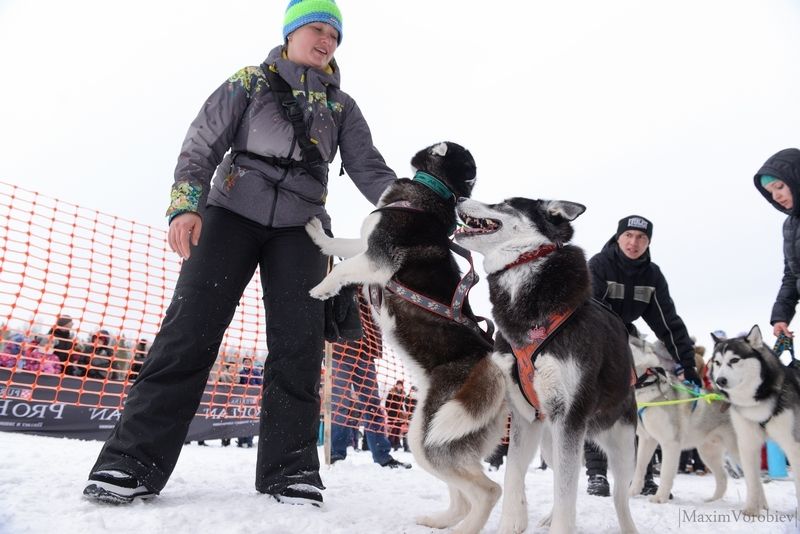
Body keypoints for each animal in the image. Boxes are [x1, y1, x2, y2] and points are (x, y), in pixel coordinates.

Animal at [306, 142, 506, 534]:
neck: (431, 193)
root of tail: (487, 359)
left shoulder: (378, 258)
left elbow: (341, 269)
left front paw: (321, 288)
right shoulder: (366, 245)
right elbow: (342, 245)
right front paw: (318, 233)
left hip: (430, 435)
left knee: (489, 491)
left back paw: (464, 528)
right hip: (430, 434)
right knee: (462, 494)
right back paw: (440, 520)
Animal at [456, 198, 636, 534]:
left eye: (504, 203)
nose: (459, 197)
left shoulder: (569, 415)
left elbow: (566, 491)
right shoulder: (524, 417)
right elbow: (514, 474)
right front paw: (511, 524)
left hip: (621, 446)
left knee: (620, 498)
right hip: (551, 443)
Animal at [632, 338, 736, 504]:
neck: (646, 384)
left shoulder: (670, 443)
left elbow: (666, 473)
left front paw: (660, 498)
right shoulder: (647, 439)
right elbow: (640, 468)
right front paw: (631, 492)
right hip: (708, 452)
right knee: (723, 476)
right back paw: (713, 500)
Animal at [708, 328, 800, 516]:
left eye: (734, 360)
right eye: (717, 362)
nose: (720, 381)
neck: (757, 403)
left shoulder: (794, 445)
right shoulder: (747, 443)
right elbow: (752, 480)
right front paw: (751, 510)